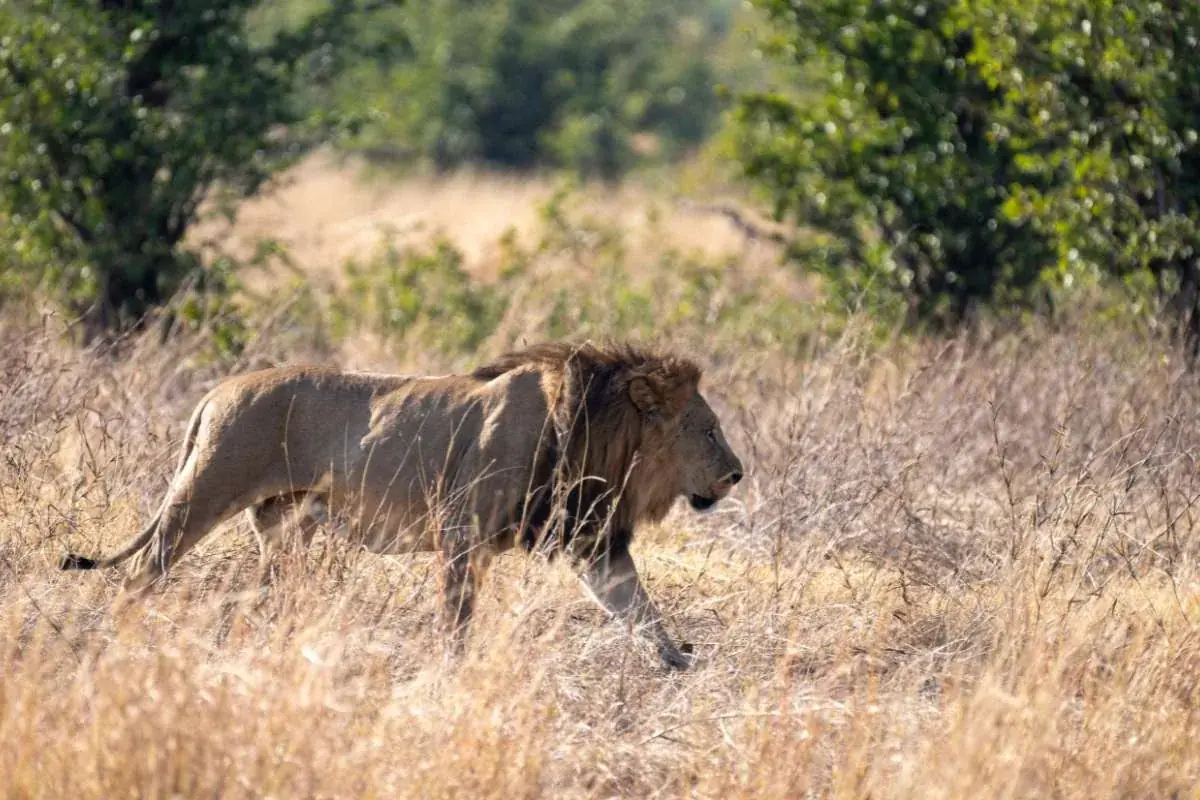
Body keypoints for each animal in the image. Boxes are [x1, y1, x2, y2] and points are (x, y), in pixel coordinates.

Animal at [59, 341, 744, 669]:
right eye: (710, 430)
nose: (738, 475)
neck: (597, 434)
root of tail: (216, 391)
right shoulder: (461, 530)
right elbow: (457, 617)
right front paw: (450, 671)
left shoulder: (592, 540)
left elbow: (640, 610)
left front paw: (680, 664)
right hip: (204, 492)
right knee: (142, 572)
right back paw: (116, 640)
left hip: (285, 527)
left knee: (260, 595)